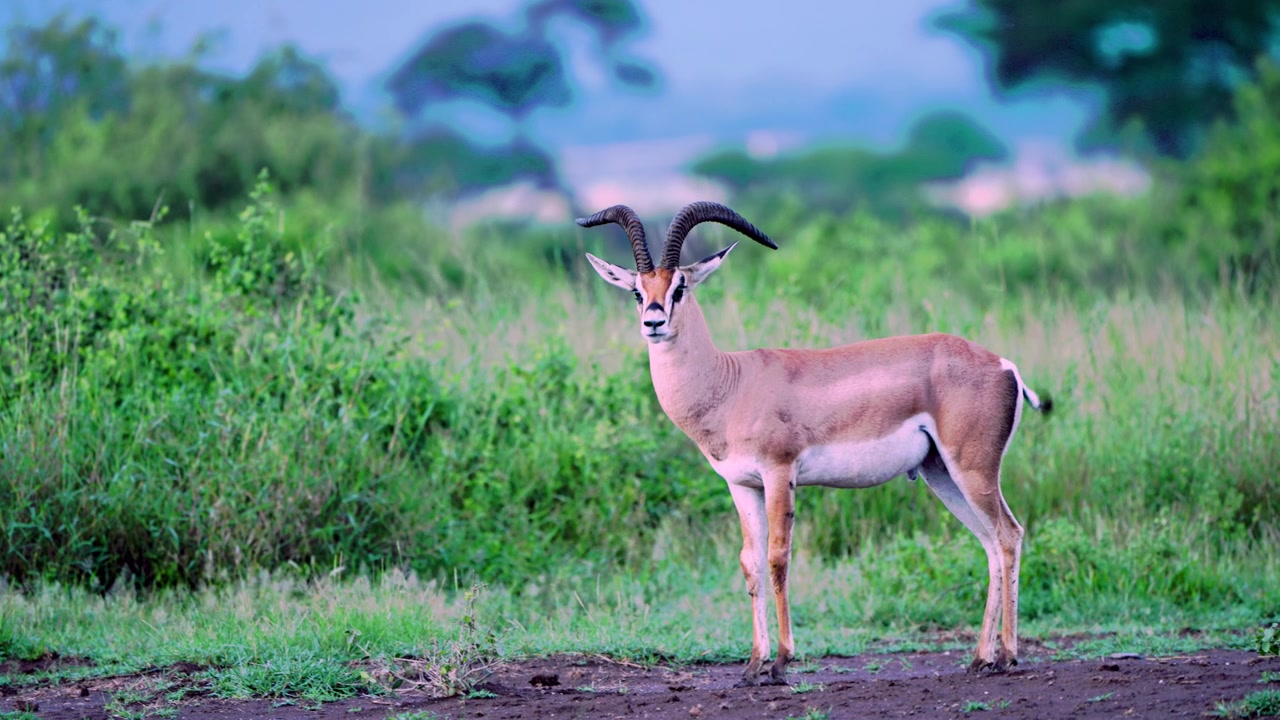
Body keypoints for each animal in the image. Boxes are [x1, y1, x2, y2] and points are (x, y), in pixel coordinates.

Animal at [579, 201, 1051, 687]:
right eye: (637, 291)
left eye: (680, 286)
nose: (653, 323)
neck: (731, 384)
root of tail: (1005, 366)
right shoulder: (741, 485)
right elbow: (750, 562)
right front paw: (753, 665)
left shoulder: (779, 473)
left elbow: (777, 559)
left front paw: (782, 662)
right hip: (942, 474)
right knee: (990, 543)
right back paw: (979, 659)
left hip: (973, 469)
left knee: (1009, 535)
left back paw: (1007, 656)